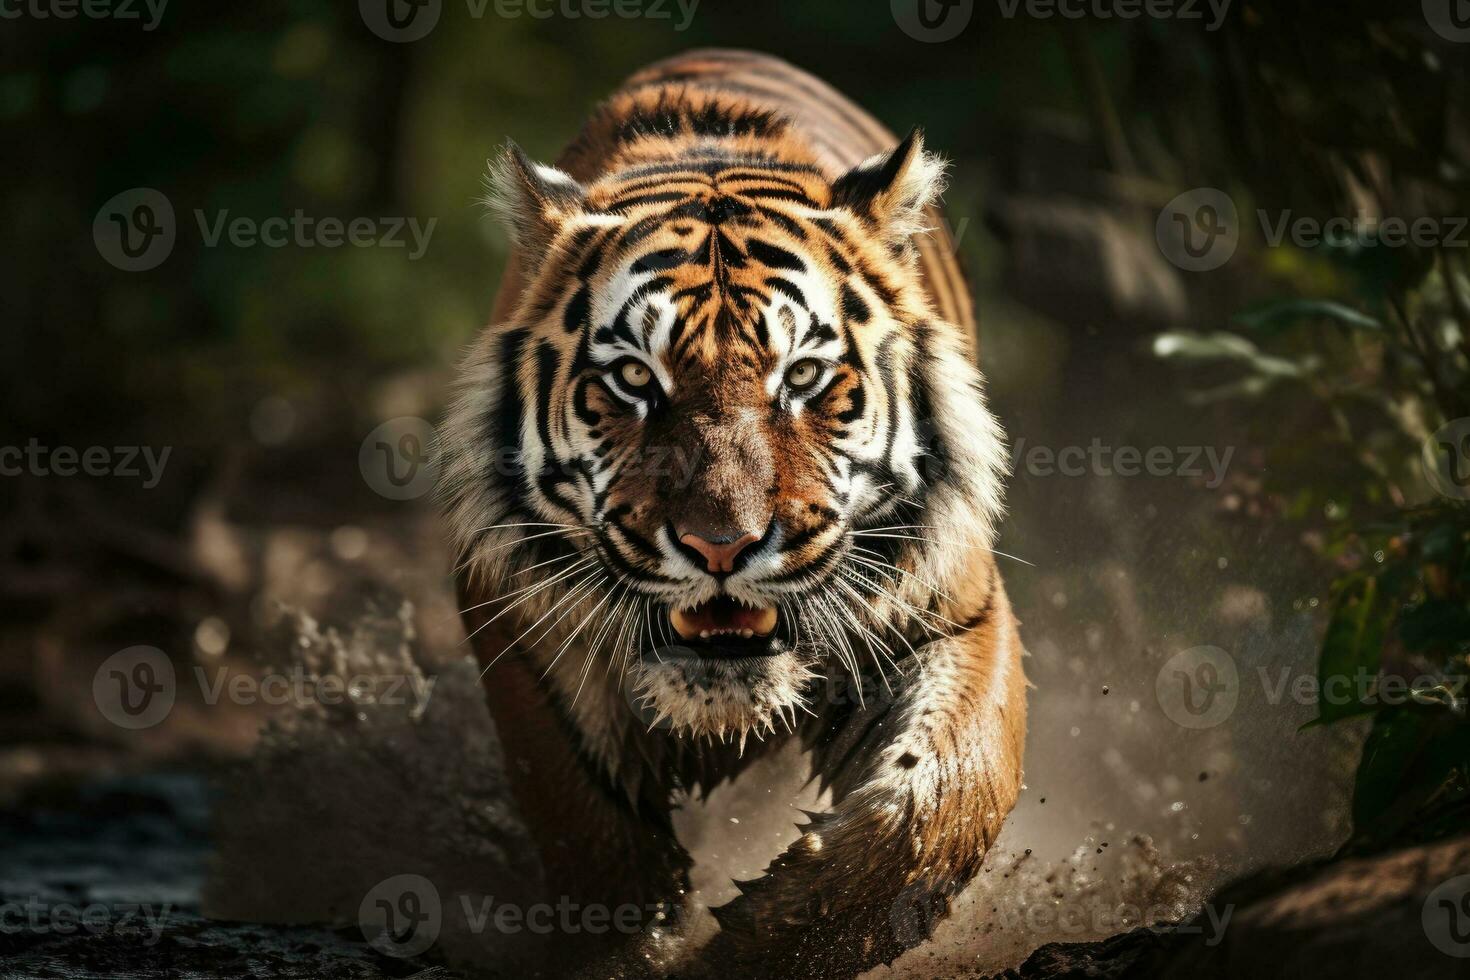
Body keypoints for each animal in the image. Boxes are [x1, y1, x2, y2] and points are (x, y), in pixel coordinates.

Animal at [441, 49, 1029, 980]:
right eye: (634, 378)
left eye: (803, 376)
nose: (721, 547)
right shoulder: (517, 620)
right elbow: (587, 828)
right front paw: (635, 949)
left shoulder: (952, 609)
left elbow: (937, 797)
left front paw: (761, 941)